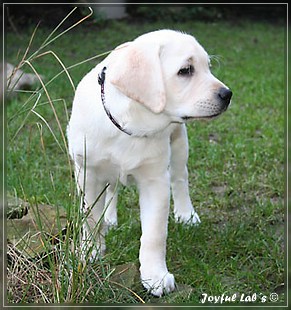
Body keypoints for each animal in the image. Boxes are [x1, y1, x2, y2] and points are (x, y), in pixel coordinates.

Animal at [66, 29, 233, 298]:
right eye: (186, 70)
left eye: (207, 67)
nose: (227, 95)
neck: (131, 121)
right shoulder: (87, 173)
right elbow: (89, 219)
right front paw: (89, 252)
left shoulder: (156, 181)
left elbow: (154, 234)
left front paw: (155, 276)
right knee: (113, 188)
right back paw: (109, 218)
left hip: (179, 142)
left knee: (180, 178)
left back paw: (186, 214)